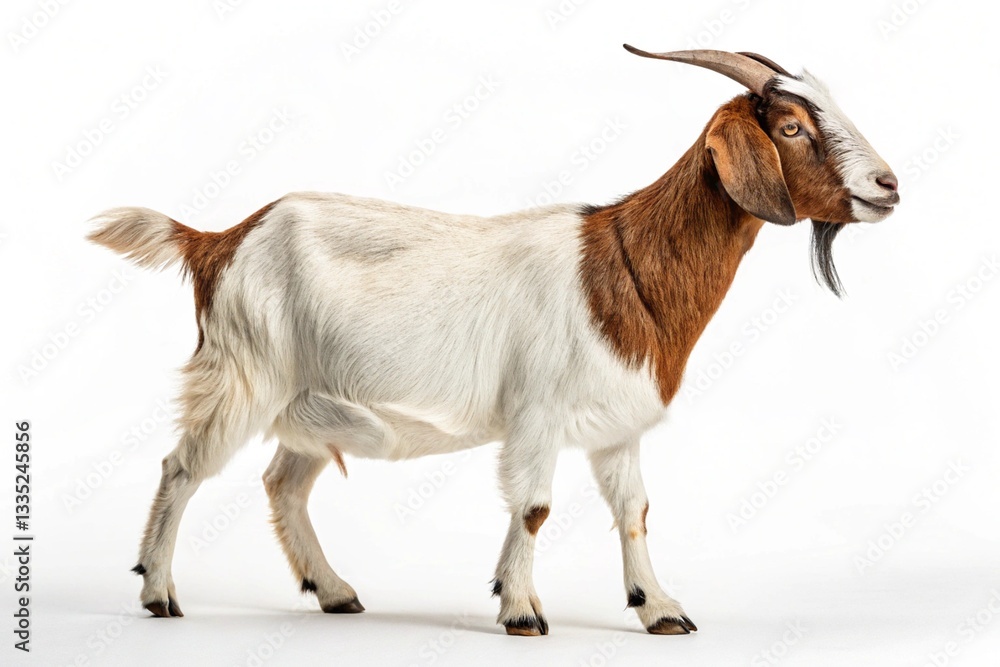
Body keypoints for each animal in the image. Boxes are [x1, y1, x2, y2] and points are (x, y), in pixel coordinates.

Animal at [88, 47, 899, 635]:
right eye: (791, 127)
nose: (889, 184)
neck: (625, 265)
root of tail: (219, 240)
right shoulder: (537, 413)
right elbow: (534, 506)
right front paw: (520, 608)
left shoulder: (617, 429)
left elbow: (634, 510)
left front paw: (660, 608)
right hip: (243, 374)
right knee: (181, 467)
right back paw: (158, 593)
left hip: (313, 402)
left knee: (282, 482)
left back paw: (336, 590)